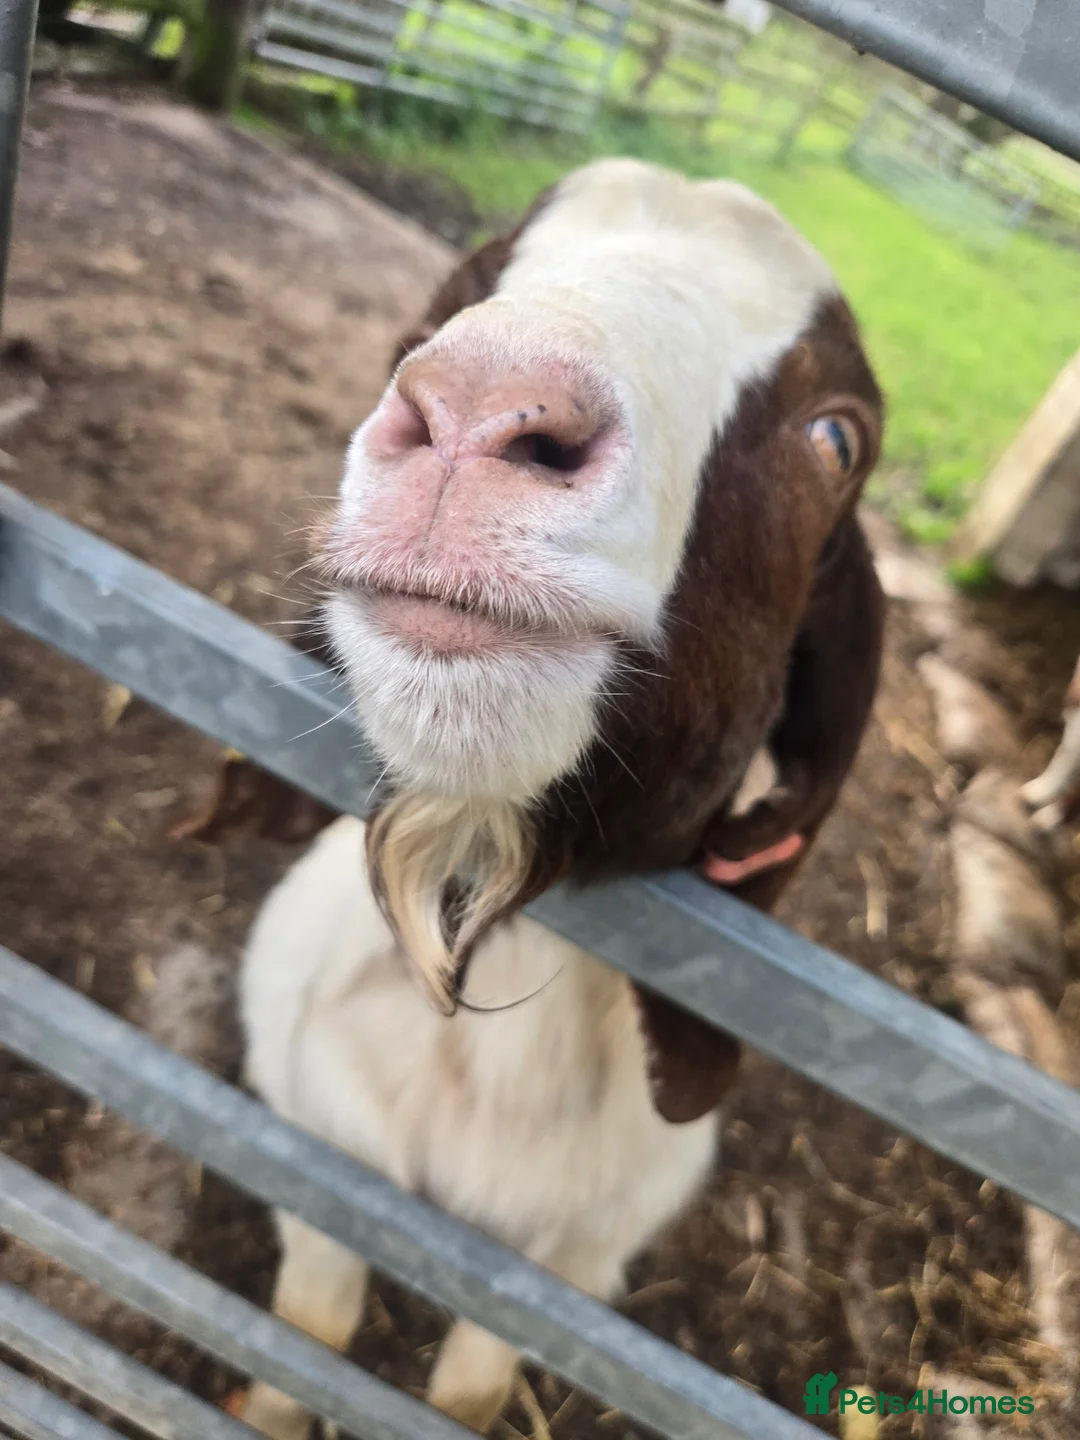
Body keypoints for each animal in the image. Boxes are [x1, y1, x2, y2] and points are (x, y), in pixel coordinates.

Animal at [235, 158, 886, 1438]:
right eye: (454, 300)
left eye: (839, 438)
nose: (482, 403)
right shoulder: (308, 1145)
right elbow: (311, 1327)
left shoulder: (580, 1263)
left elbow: (474, 1384)